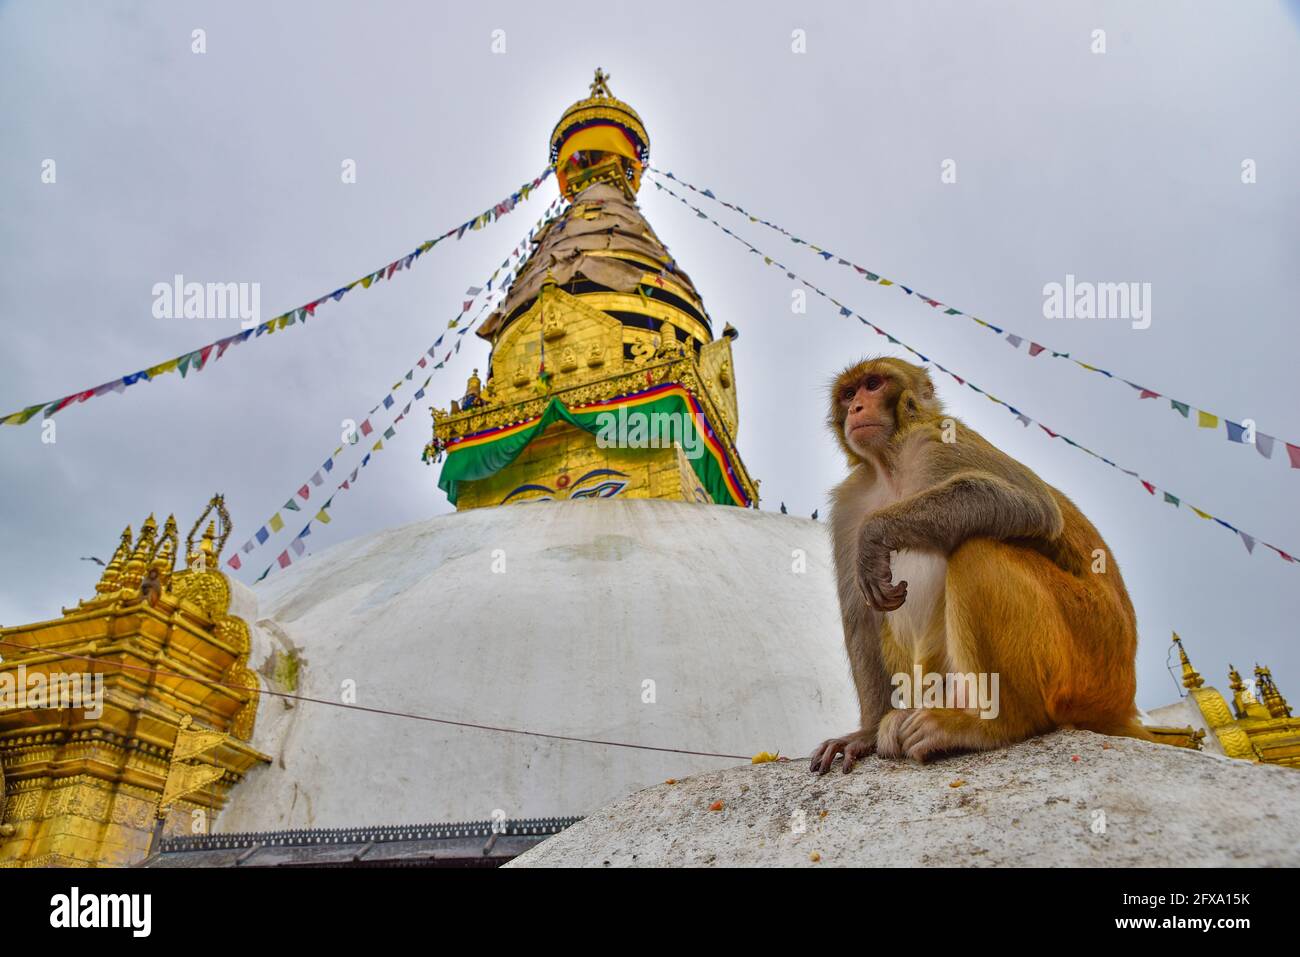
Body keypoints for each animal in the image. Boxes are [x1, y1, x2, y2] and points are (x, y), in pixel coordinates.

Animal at [809, 357, 1149, 772]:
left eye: (873, 384)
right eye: (848, 393)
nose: (857, 408)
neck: (889, 468)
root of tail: (1123, 700)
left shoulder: (938, 442)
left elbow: (1033, 505)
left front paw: (876, 533)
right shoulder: (851, 502)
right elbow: (862, 616)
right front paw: (865, 733)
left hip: (1087, 660)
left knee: (977, 549)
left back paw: (994, 724)